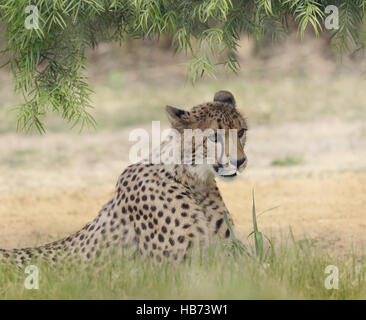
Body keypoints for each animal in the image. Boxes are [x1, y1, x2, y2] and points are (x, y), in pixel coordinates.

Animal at [0, 89, 249, 266]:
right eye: (214, 137)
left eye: (242, 132)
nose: (240, 161)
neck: (194, 182)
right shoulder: (174, 268)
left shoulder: (230, 256)